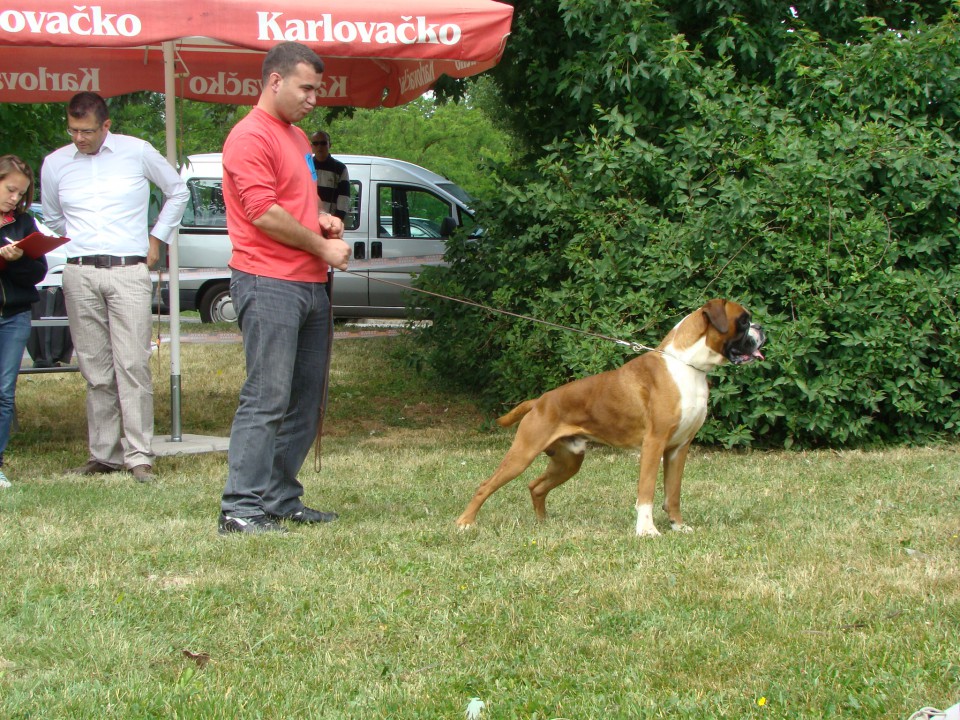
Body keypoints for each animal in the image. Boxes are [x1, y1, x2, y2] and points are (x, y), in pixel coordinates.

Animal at [456, 296, 764, 536]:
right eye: (743, 321)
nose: (761, 328)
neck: (687, 366)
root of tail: (540, 401)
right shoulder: (654, 445)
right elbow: (647, 491)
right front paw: (647, 530)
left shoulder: (679, 448)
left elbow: (673, 493)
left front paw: (678, 526)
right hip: (523, 454)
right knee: (485, 486)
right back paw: (465, 523)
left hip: (568, 462)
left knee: (536, 486)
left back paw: (543, 523)